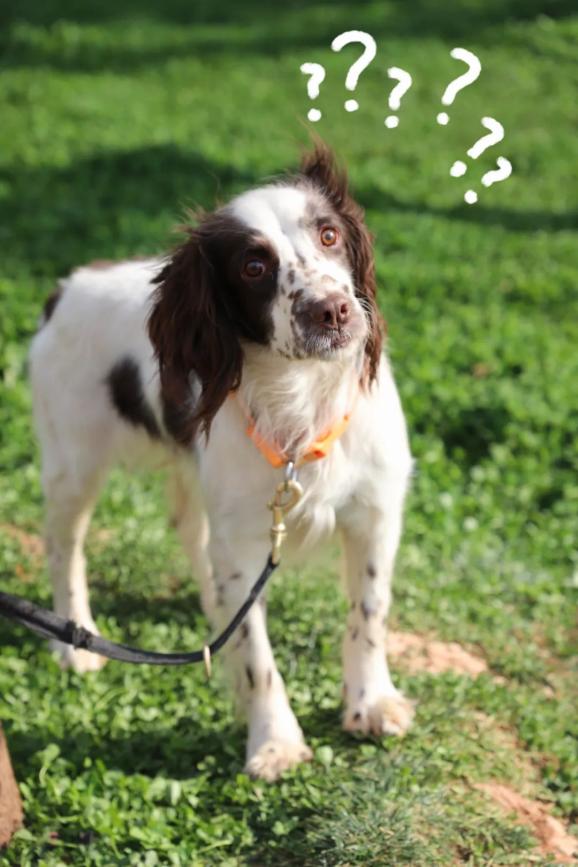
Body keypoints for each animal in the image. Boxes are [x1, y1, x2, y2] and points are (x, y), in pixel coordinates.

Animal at [29, 144, 414, 780]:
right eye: (252, 267)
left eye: (329, 234)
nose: (332, 310)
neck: (303, 400)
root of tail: (65, 287)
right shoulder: (245, 540)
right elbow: (257, 653)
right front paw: (275, 741)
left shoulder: (375, 513)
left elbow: (370, 612)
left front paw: (372, 703)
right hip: (72, 463)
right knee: (65, 547)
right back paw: (73, 640)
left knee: (191, 532)